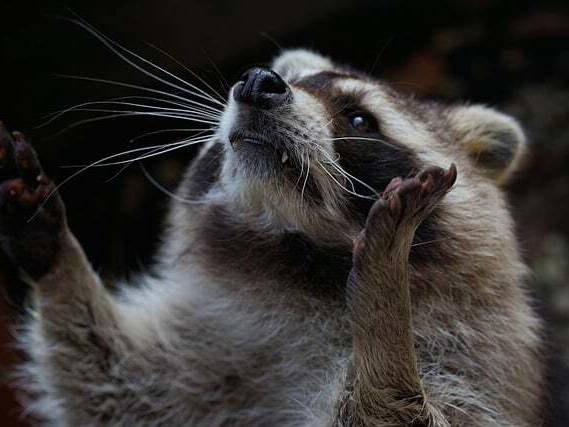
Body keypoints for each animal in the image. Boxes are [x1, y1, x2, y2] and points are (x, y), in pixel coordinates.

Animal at [0, 48, 540, 426]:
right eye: (297, 83)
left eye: (360, 119)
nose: (259, 81)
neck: (299, 266)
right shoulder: (208, 359)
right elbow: (115, 389)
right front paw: (58, 258)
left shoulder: (469, 367)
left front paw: (383, 314)